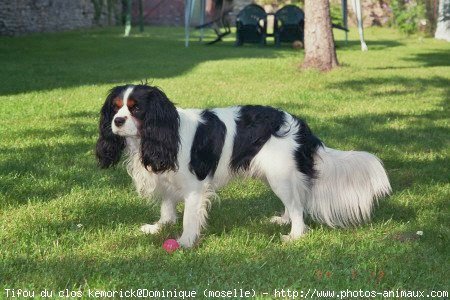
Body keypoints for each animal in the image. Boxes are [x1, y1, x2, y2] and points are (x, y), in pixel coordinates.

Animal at [95, 83, 390, 247]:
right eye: (116, 107)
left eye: (136, 109)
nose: (117, 121)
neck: (157, 134)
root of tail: (300, 124)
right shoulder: (164, 175)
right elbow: (167, 205)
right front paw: (160, 226)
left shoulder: (194, 187)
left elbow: (189, 217)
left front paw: (185, 242)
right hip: (276, 175)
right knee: (293, 202)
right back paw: (282, 220)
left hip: (280, 174)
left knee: (298, 206)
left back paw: (295, 234)